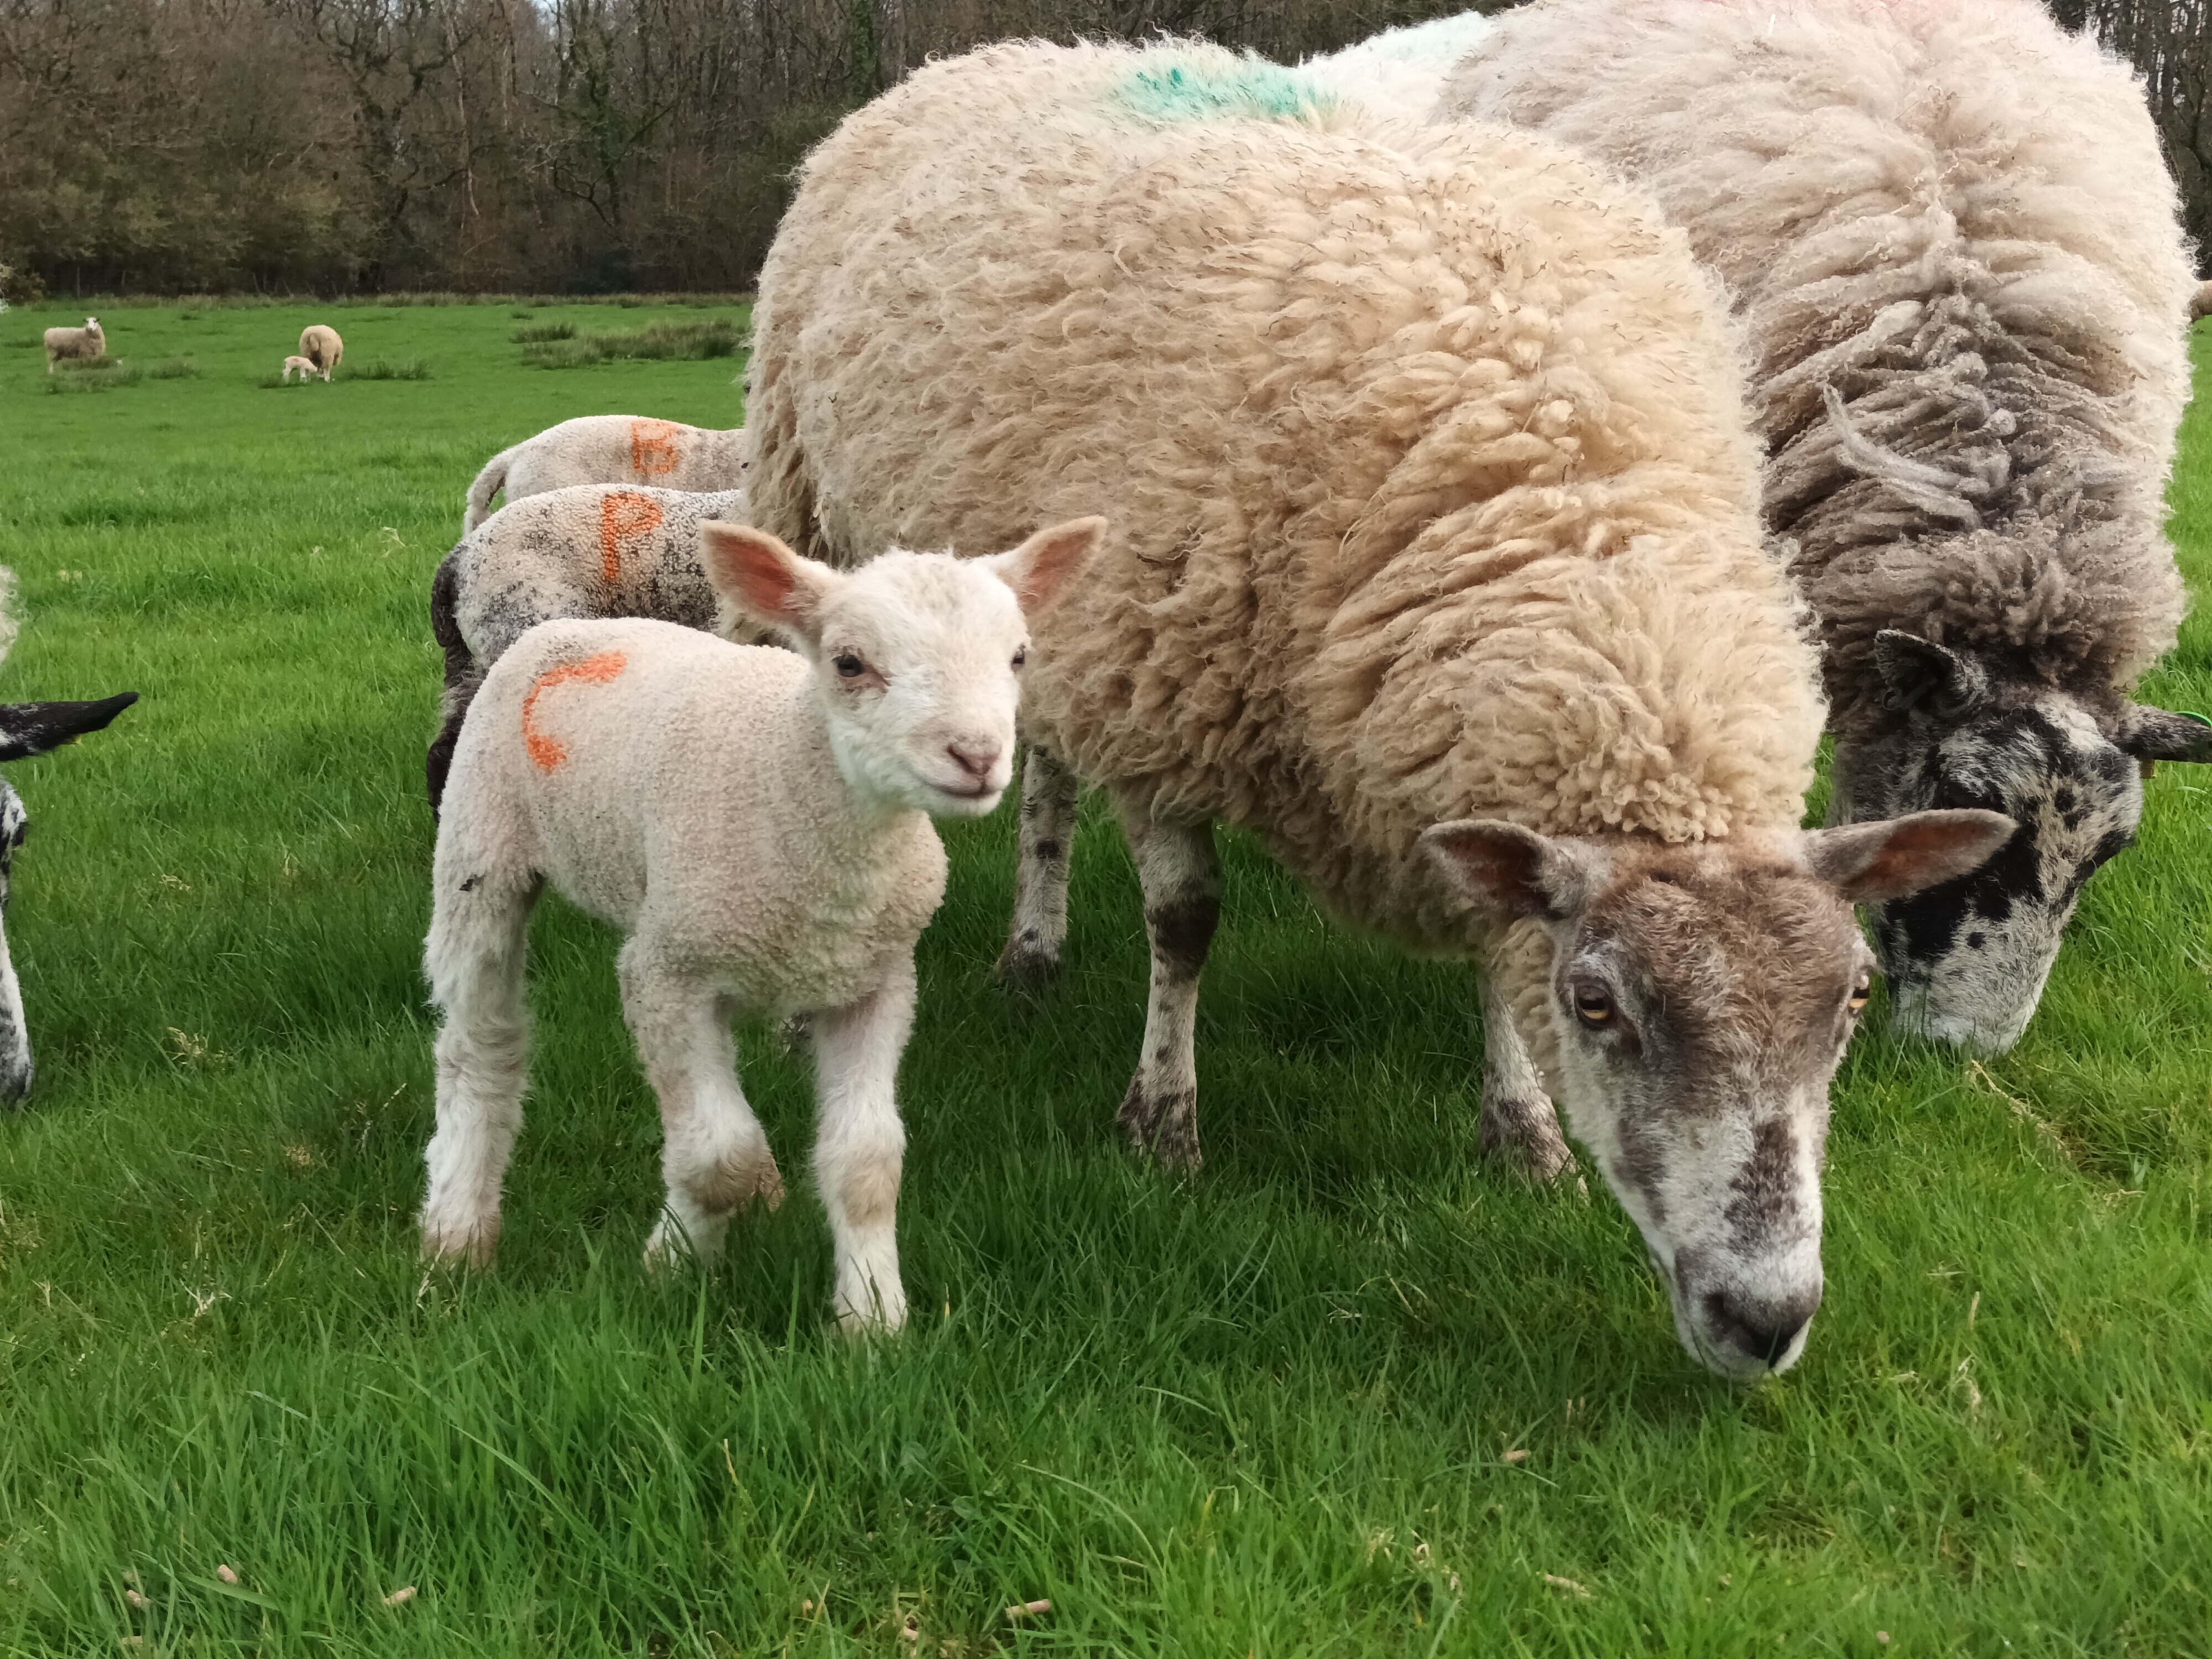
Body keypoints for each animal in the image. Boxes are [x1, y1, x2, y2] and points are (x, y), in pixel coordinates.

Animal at [743, 38, 2015, 1379]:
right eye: (1597, 1005)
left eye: (1853, 1000)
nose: (1765, 1319)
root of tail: (1000, 55)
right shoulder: (1161, 693)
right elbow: (1185, 923)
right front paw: (1162, 1124)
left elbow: (1487, 933)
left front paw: (1521, 1135)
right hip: (840, 512)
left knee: (1042, 770)